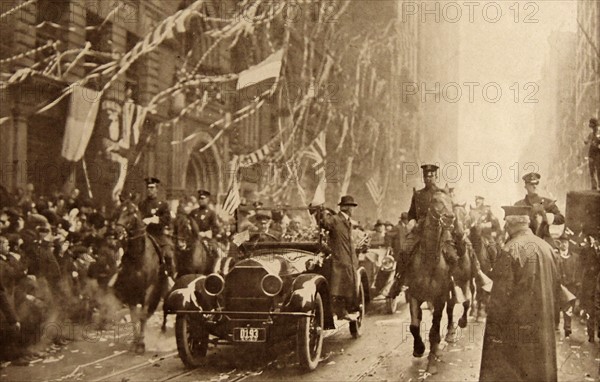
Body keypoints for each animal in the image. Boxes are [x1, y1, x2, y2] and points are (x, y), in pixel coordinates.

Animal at [112, 201, 168, 354]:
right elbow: (134, 317)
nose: (117, 232)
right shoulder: (131, 292)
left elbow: (142, 316)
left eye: (131, 212)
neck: (138, 257)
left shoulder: (149, 290)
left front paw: (141, 344)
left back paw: (163, 330)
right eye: (119, 211)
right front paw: (134, 342)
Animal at [406, 190, 458, 374]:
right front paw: (419, 348)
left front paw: (432, 361)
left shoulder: (440, 297)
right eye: (435, 200)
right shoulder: (414, 295)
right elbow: (414, 326)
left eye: (451, 201)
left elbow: (435, 329)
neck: (428, 262)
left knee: (449, 310)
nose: (449, 217)